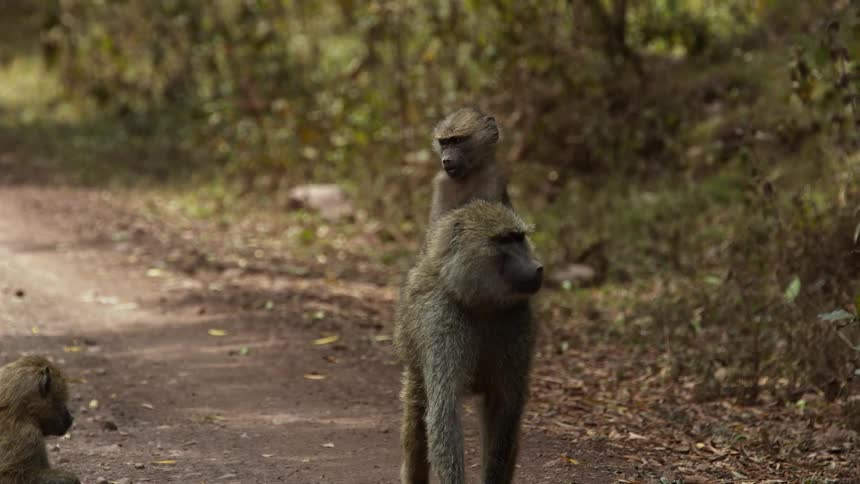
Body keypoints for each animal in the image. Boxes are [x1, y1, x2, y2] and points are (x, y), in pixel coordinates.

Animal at [394, 200, 544, 484]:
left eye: (520, 238)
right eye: (504, 240)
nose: (538, 267)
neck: (481, 303)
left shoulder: (519, 319)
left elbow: (505, 405)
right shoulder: (440, 321)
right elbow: (444, 413)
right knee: (417, 424)